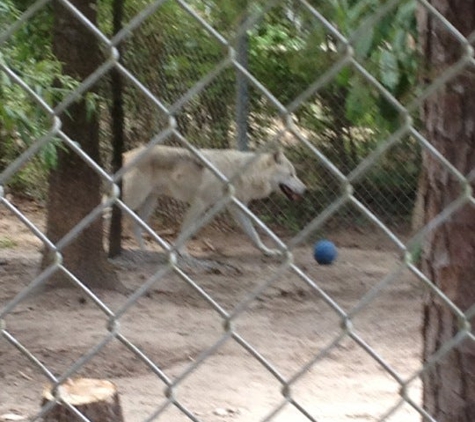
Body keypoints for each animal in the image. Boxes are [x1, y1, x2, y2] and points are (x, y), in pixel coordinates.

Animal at [120, 145, 304, 256]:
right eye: (291, 175)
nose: (306, 189)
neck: (245, 173)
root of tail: (126, 154)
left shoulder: (233, 208)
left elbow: (254, 235)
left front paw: (267, 251)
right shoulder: (200, 203)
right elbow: (186, 229)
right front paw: (182, 252)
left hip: (150, 202)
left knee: (136, 226)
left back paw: (144, 252)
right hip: (134, 200)